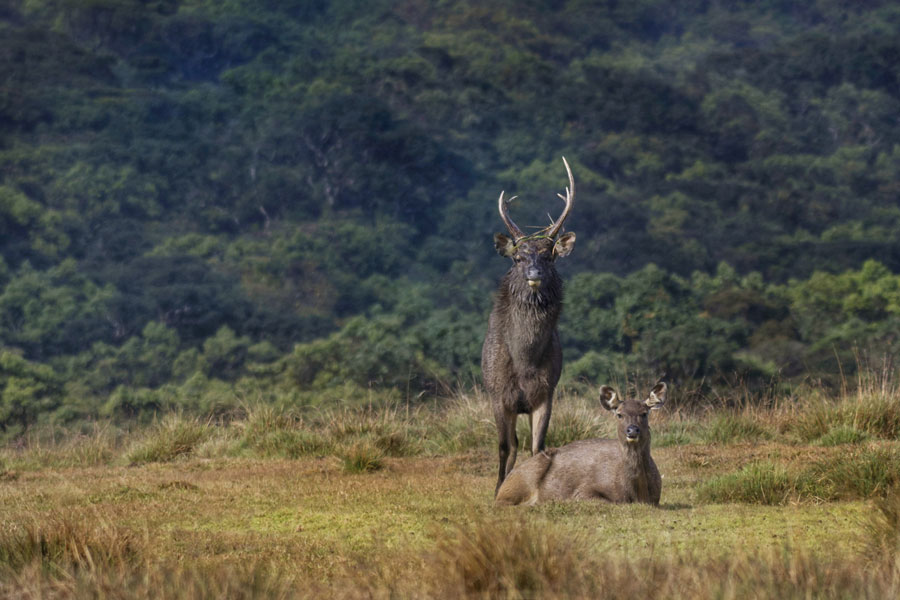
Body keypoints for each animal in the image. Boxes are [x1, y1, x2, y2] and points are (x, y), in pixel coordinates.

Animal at [482, 157, 576, 496]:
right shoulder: (498, 395)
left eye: (549, 256)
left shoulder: (546, 393)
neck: (524, 362)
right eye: (519, 258)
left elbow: (539, 447)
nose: (534, 272)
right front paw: (498, 490)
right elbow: (504, 447)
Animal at [495, 383, 667, 506]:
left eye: (644, 413)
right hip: (522, 478)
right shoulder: (583, 491)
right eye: (619, 414)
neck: (638, 493)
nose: (632, 430)